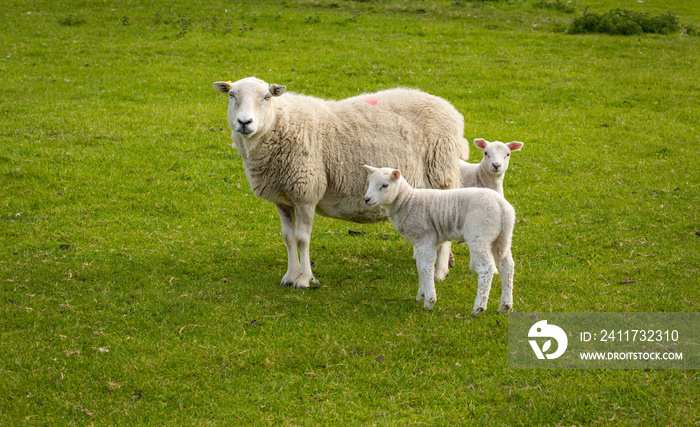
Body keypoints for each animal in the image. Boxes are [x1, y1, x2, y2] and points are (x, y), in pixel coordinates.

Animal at [213, 78, 470, 290]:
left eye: (266, 97)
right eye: (232, 95)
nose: (244, 122)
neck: (281, 123)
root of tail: (451, 110)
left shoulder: (306, 191)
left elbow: (302, 238)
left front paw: (304, 279)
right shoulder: (283, 199)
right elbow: (288, 238)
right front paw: (289, 275)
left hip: (442, 174)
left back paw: (440, 271)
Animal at [364, 166, 516, 316]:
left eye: (385, 185)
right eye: (369, 182)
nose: (366, 199)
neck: (407, 201)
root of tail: (504, 208)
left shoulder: (426, 239)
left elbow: (426, 268)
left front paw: (429, 301)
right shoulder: (419, 243)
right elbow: (420, 267)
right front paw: (421, 295)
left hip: (480, 235)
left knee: (486, 268)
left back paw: (479, 307)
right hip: (499, 238)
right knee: (506, 266)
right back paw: (505, 306)